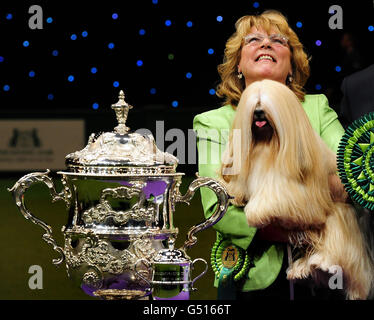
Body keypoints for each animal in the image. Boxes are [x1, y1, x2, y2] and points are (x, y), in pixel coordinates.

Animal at [221, 79, 372, 298]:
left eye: (265, 104)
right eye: (254, 104)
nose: (258, 112)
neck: (267, 144)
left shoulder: (301, 193)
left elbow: (275, 195)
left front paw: (257, 212)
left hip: (338, 214)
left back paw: (322, 264)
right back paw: (302, 269)